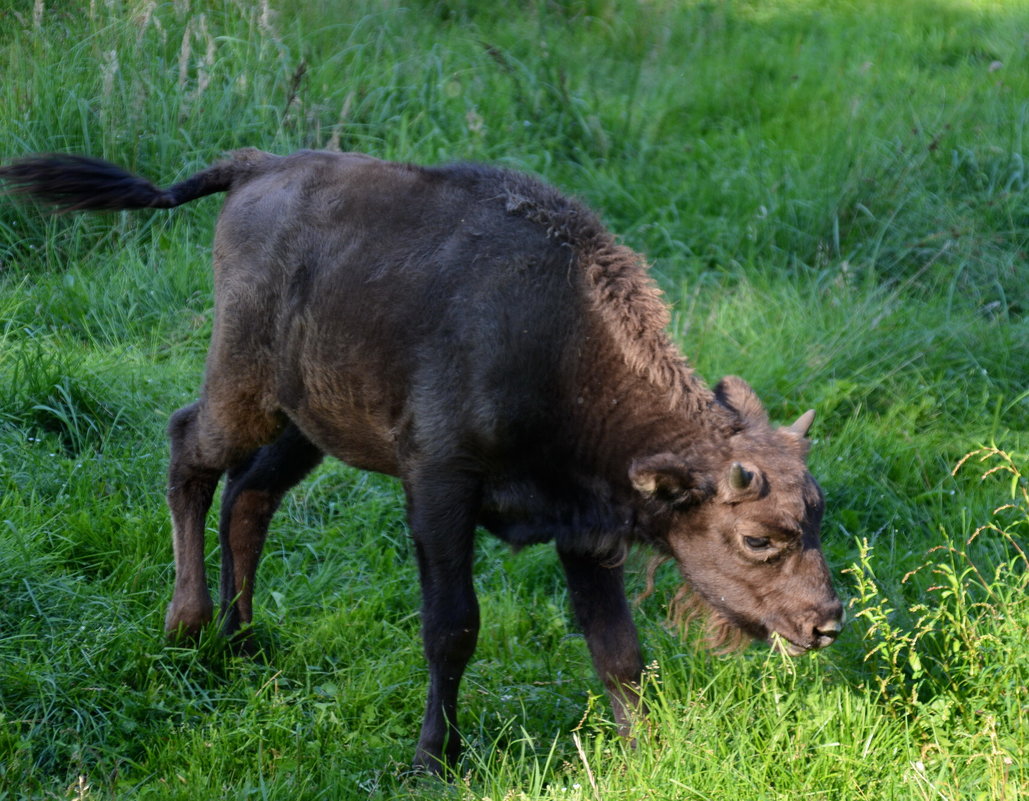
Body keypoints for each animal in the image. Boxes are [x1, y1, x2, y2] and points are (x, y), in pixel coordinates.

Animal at [2, 148, 843, 765]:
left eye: (817, 518)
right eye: (756, 537)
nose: (825, 622)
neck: (558, 339)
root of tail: (256, 166)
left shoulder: (582, 526)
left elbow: (616, 647)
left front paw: (642, 751)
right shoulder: (440, 486)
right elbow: (452, 626)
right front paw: (433, 758)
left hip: (306, 426)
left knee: (251, 496)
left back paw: (243, 641)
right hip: (244, 392)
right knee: (189, 450)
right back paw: (187, 623)